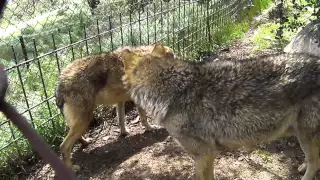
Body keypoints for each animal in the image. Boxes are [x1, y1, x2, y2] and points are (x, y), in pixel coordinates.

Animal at [121, 43, 320, 180]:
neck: (172, 89)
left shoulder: (204, 154)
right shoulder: (209, 154)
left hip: (306, 135)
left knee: (315, 163)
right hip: (302, 135)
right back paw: (302, 166)